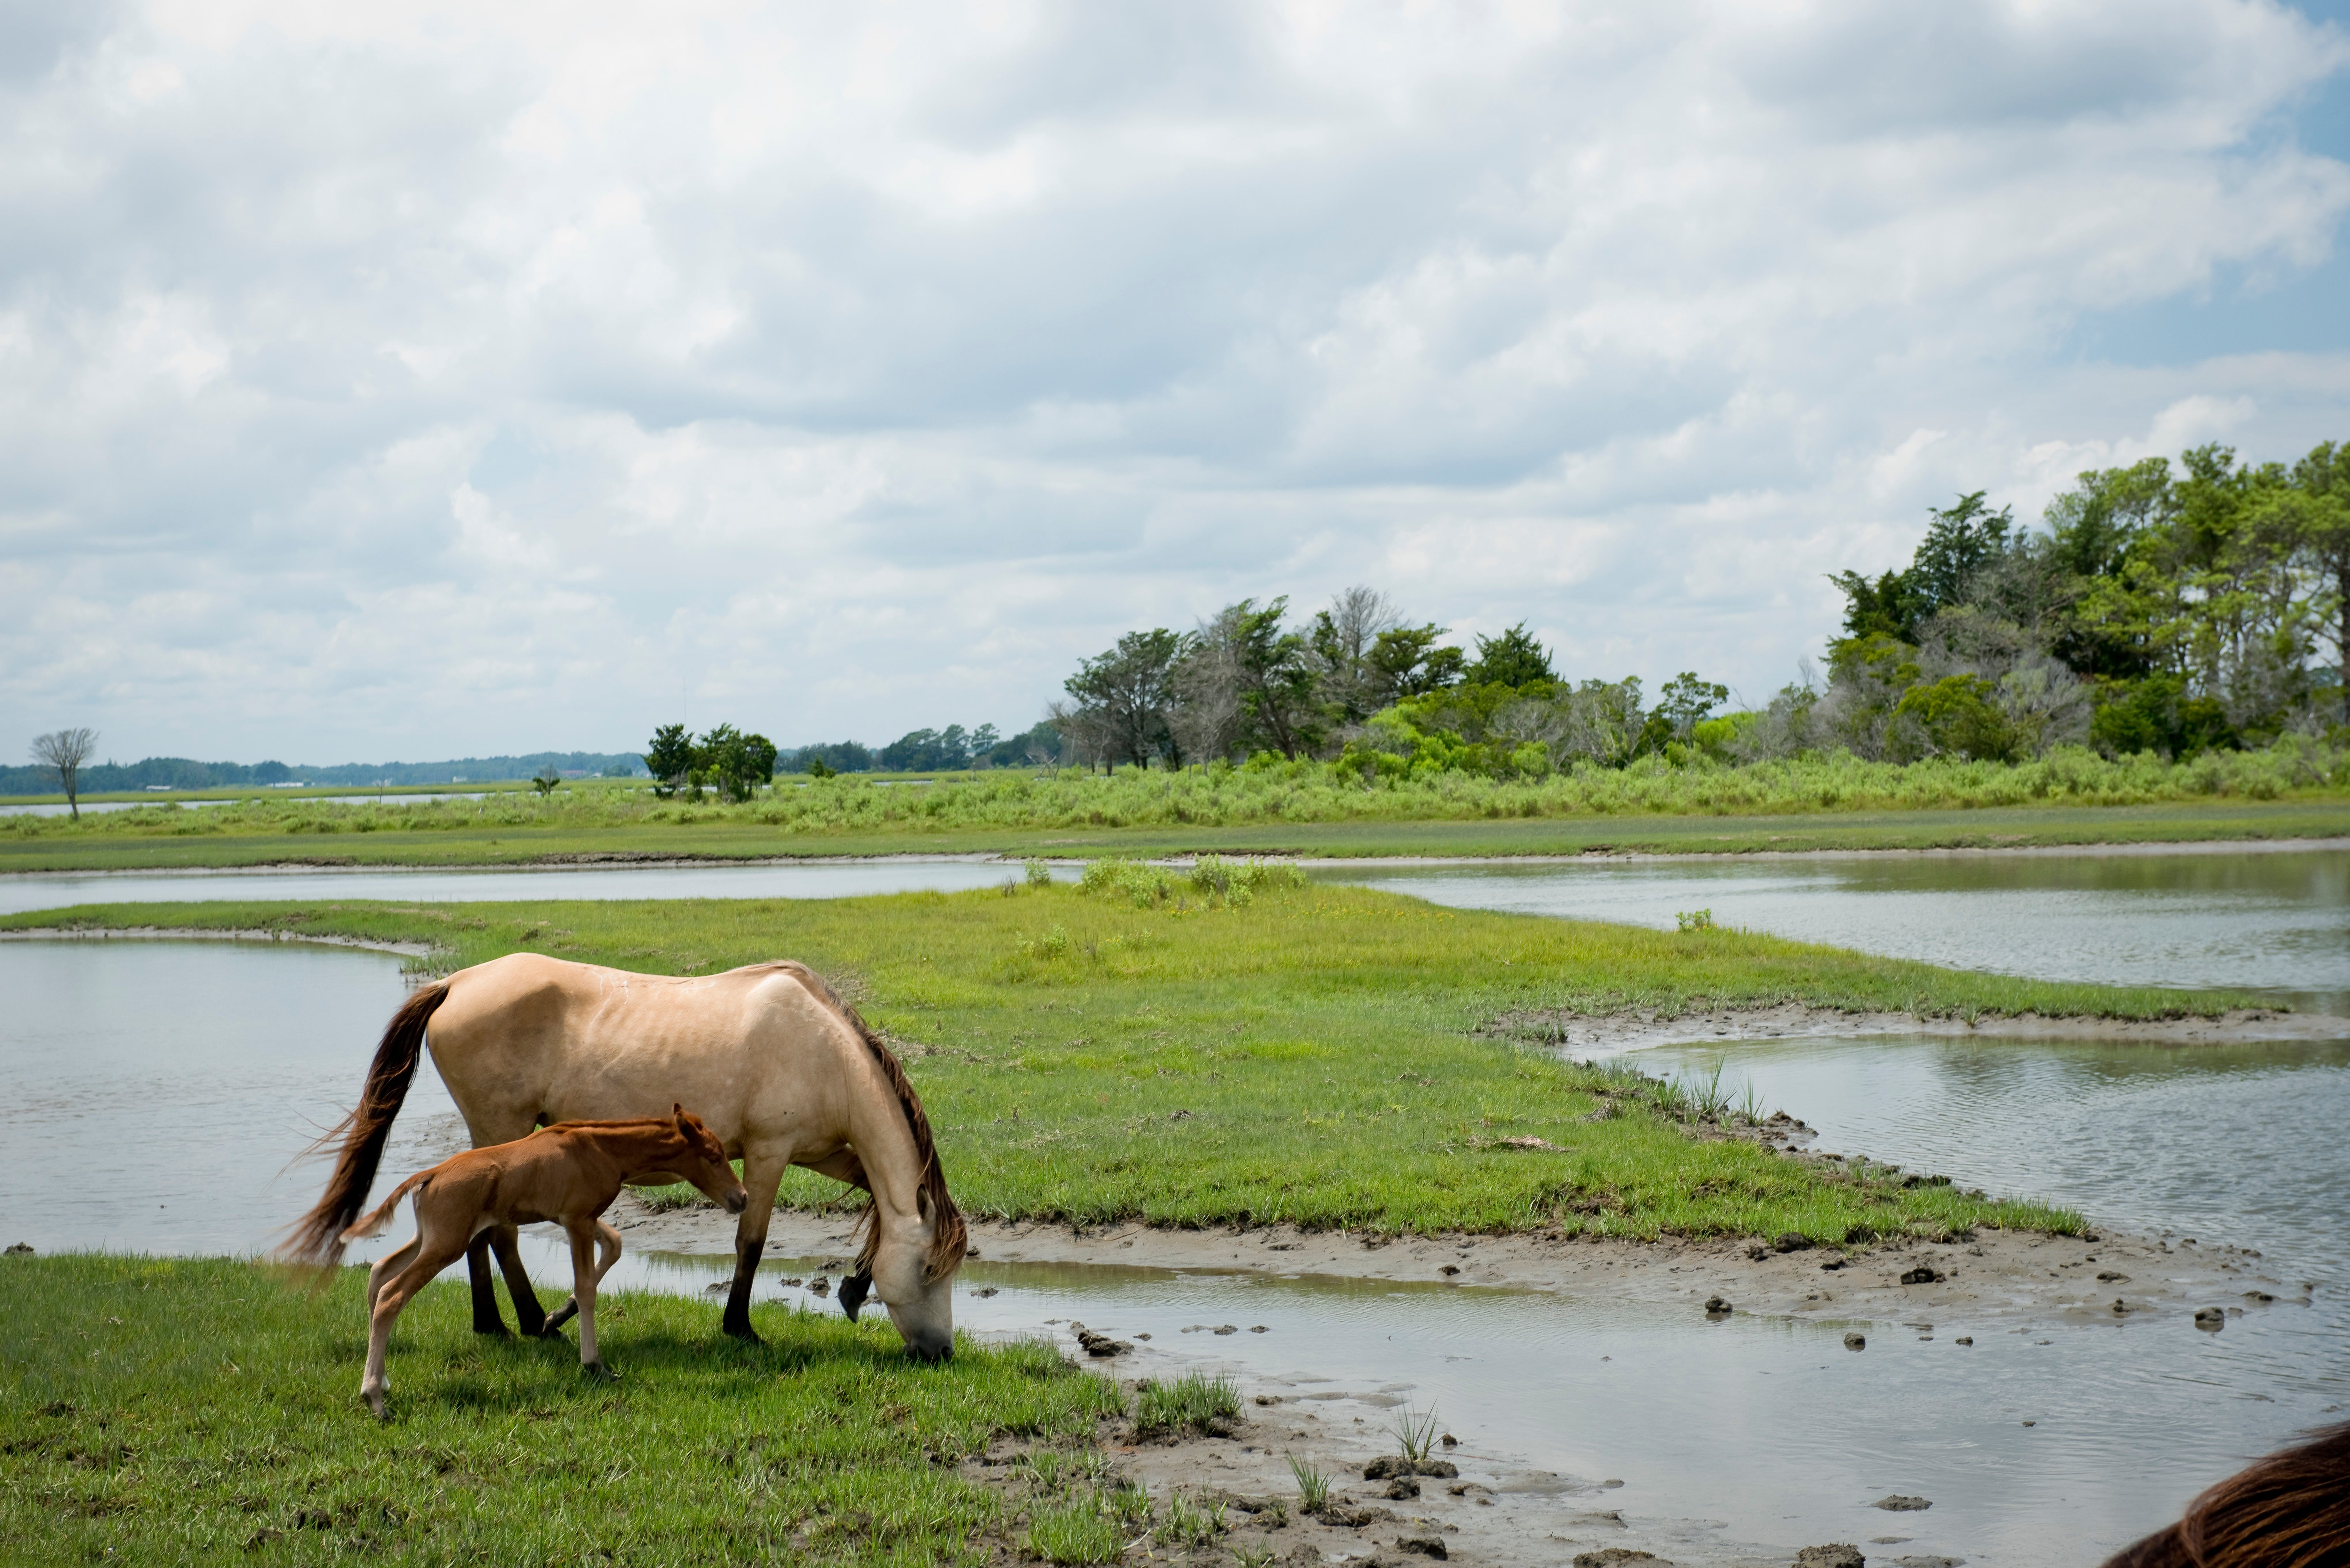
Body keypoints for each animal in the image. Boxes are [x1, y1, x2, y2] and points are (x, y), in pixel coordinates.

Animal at [286, 953, 966, 1362]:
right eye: (929, 1270)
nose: (940, 1352)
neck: (823, 1050)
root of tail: (456, 982)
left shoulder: (823, 1154)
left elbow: (874, 1204)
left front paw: (853, 1286)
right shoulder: (769, 1155)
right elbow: (751, 1242)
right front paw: (740, 1327)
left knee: (483, 1231)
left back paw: (498, 1323)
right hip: (499, 1126)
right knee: (499, 1233)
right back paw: (530, 1321)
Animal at [341, 1105, 749, 1418]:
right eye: (714, 1157)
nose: (742, 1197)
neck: (602, 1148)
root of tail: (430, 1174)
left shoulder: (573, 1219)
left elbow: (615, 1246)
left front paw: (554, 1318)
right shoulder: (577, 1220)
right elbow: (586, 1289)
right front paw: (595, 1364)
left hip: (429, 1239)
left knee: (379, 1271)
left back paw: (382, 1381)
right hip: (447, 1244)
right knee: (392, 1294)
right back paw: (373, 1397)